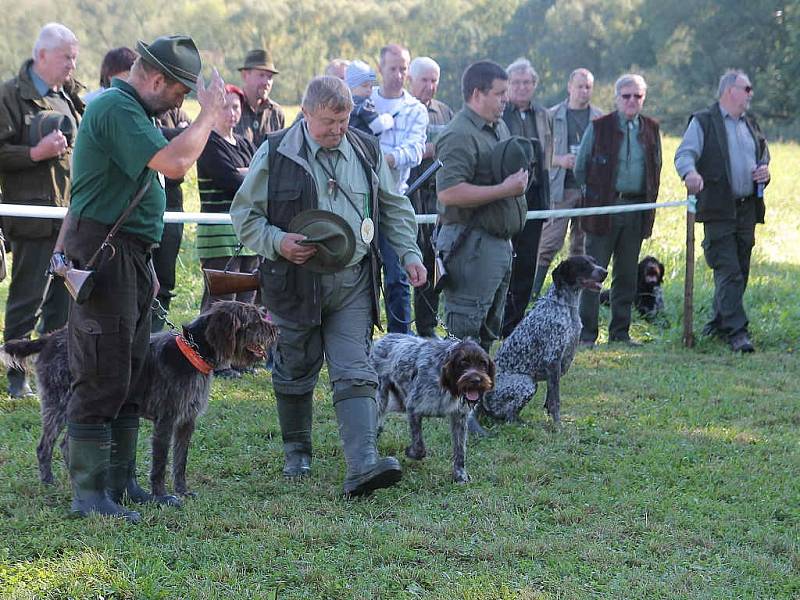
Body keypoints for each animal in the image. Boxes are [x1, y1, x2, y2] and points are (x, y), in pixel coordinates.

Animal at [2, 300, 278, 502]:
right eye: (255, 321)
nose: (276, 330)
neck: (191, 353)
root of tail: (51, 337)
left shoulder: (186, 421)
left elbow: (180, 461)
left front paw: (182, 491)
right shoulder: (166, 420)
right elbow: (160, 463)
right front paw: (161, 496)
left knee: (67, 446)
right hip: (59, 404)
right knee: (45, 446)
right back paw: (49, 482)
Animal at [370, 338, 494, 482]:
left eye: (483, 364)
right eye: (463, 363)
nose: (476, 380)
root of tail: (381, 340)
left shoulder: (460, 418)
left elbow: (460, 450)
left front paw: (460, 474)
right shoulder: (413, 407)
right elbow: (420, 447)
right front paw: (410, 452)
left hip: (397, 403)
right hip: (381, 398)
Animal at [482, 255, 608, 424]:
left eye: (594, 261)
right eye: (584, 265)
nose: (605, 272)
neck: (565, 306)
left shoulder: (557, 366)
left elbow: (550, 400)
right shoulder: (553, 360)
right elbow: (555, 401)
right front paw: (557, 425)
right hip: (527, 383)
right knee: (506, 415)